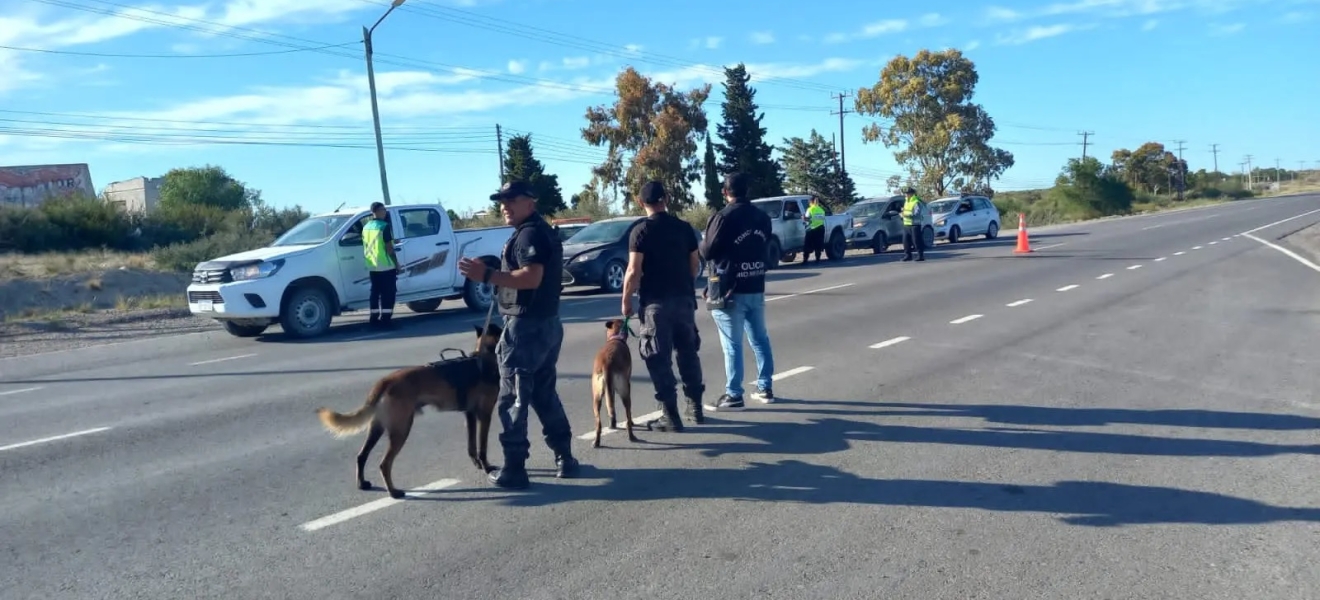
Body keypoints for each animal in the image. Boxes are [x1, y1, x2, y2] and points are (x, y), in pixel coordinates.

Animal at [316, 324, 501, 498]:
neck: (484, 359)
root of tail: (385, 381)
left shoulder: (470, 415)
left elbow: (472, 446)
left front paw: (477, 464)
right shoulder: (484, 415)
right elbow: (482, 447)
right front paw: (487, 468)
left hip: (377, 428)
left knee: (361, 456)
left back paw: (362, 484)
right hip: (401, 429)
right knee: (385, 464)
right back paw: (393, 492)